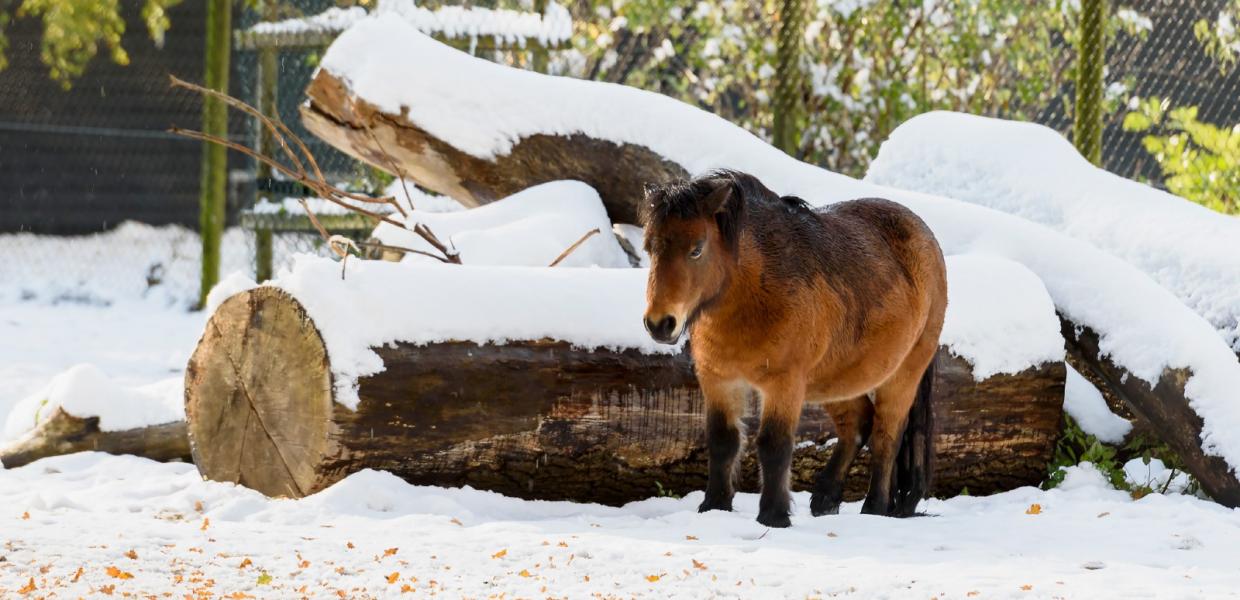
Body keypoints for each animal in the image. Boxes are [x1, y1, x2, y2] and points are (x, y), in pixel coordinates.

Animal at [644, 167, 942, 525]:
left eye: (696, 249)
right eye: (649, 248)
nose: (660, 323)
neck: (754, 293)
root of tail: (927, 237)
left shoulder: (783, 383)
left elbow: (774, 446)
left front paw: (773, 516)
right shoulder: (718, 379)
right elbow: (722, 441)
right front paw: (714, 507)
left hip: (903, 374)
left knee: (886, 436)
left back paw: (874, 509)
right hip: (837, 379)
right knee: (858, 424)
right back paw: (825, 499)